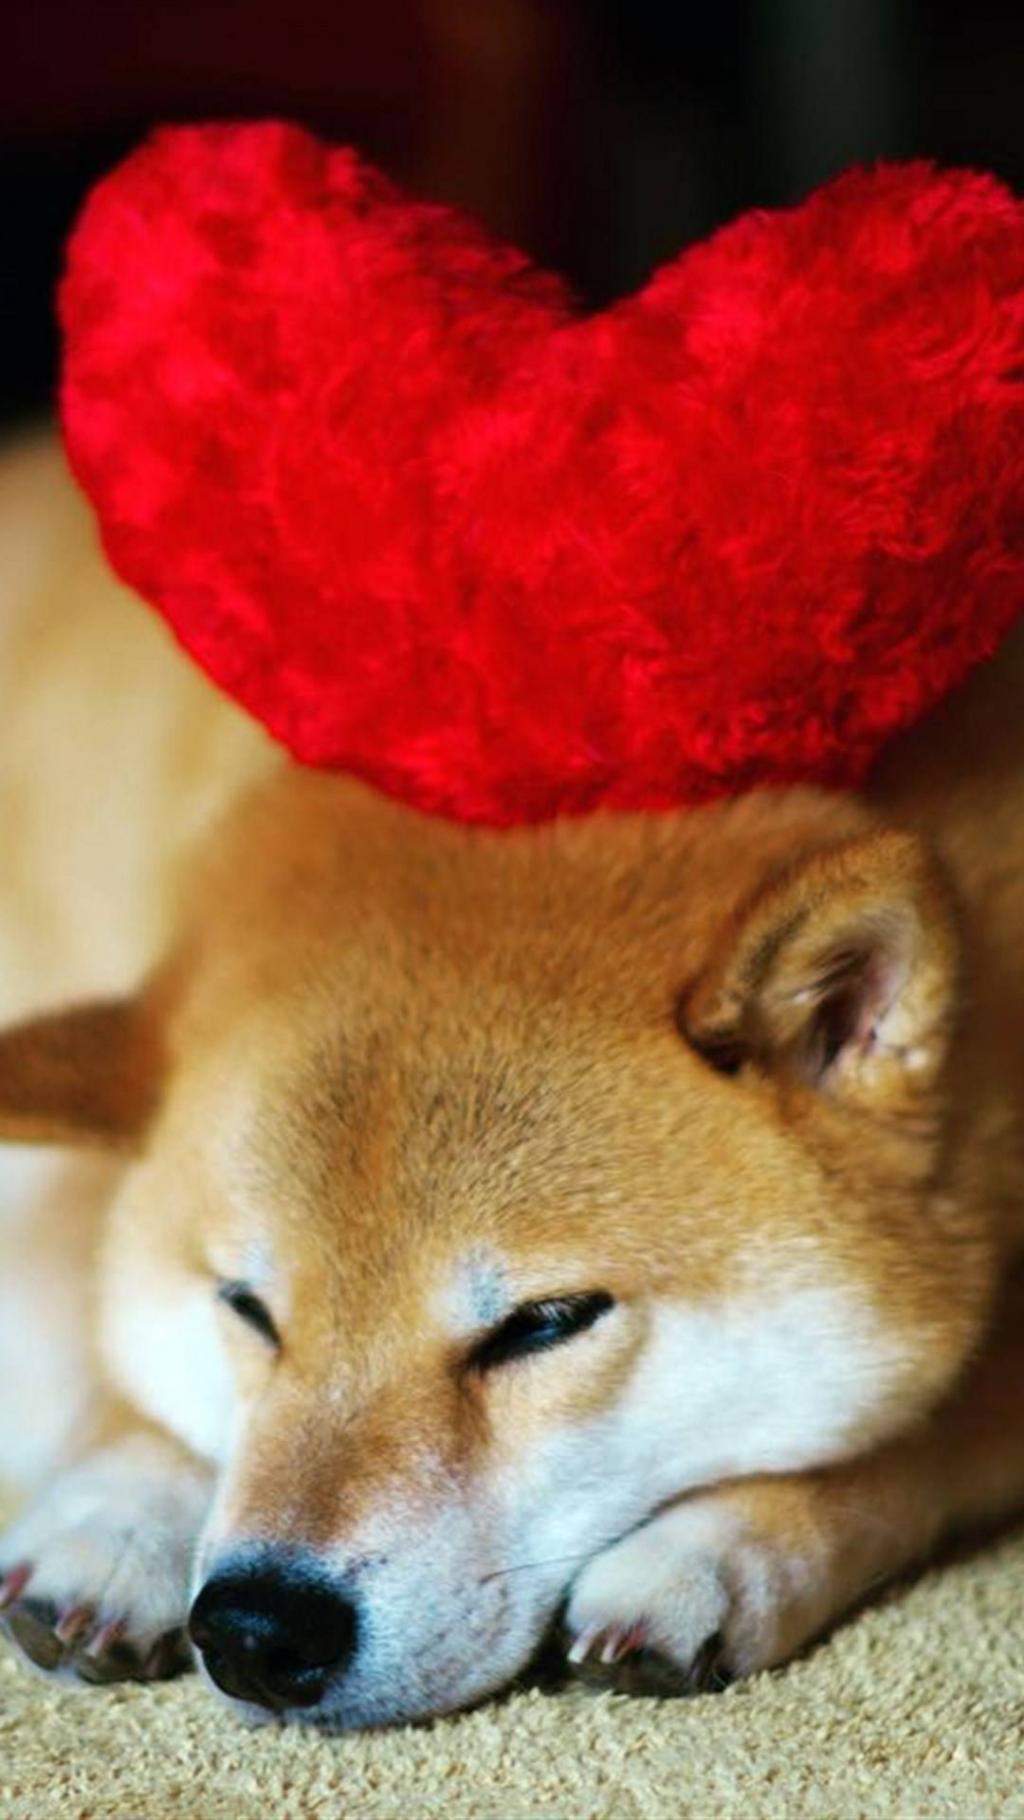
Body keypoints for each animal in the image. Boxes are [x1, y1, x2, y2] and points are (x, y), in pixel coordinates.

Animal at [0, 427, 1023, 1727]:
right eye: (247, 1305)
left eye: (542, 1323)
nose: (255, 1625)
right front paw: (123, 1506)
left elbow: (912, 1438)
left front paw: (715, 1546)